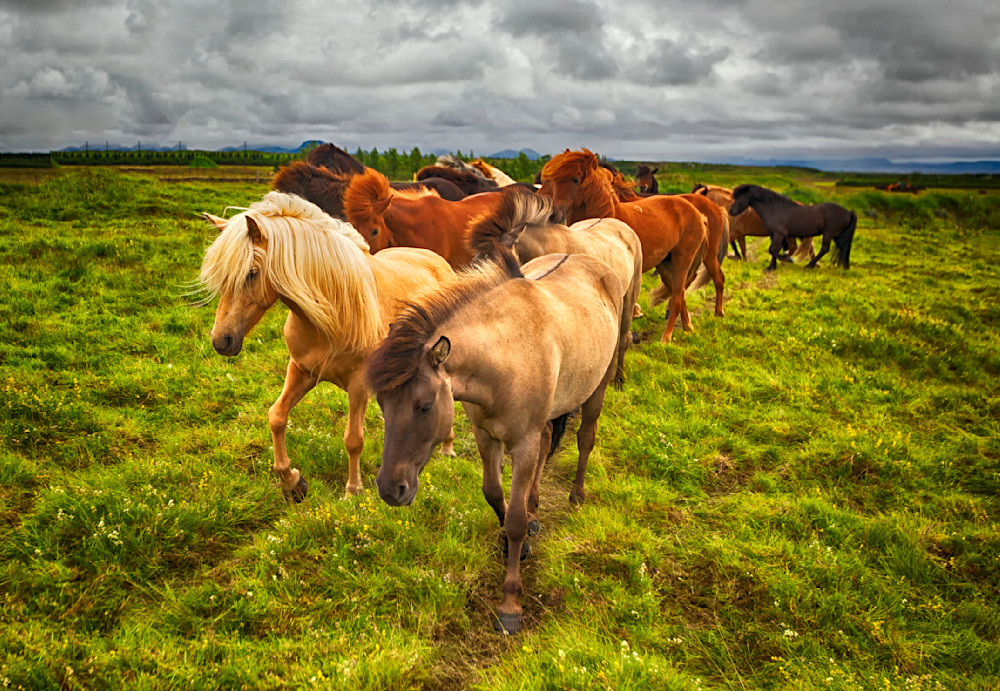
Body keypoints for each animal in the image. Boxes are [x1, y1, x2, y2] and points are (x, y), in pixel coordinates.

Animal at [198, 191, 456, 501]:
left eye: (252, 272)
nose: (221, 341)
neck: (333, 310)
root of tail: (440, 262)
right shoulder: (301, 370)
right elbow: (276, 416)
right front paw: (292, 482)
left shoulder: (358, 384)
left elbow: (354, 439)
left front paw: (353, 490)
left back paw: (447, 447)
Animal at [366, 249, 626, 635]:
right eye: (382, 403)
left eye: (424, 405)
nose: (389, 488)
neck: (506, 354)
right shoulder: (487, 437)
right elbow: (493, 494)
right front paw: (520, 540)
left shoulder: (523, 444)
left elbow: (515, 518)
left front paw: (510, 603)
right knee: (548, 440)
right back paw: (536, 507)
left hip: (598, 387)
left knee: (585, 438)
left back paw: (576, 495)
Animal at [539, 149, 708, 342]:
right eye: (547, 179)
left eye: (574, 179)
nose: (547, 210)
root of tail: (698, 213)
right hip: (666, 265)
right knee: (679, 293)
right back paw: (688, 327)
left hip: (682, 261)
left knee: (678, 296)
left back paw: (666, 337)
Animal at [728, 185, 857, 271]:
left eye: (740, 197)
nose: (731, 212)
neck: (774, 209)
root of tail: (848, 212)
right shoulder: (775, 235)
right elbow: (775, 249)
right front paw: (773, 266)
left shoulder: (779, 234)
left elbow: (773, 250)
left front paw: (782, 261)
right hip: (838, 236)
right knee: (842, 248)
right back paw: (844, 267)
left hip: (829, 233)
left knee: (825, 249)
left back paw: (809, 265)